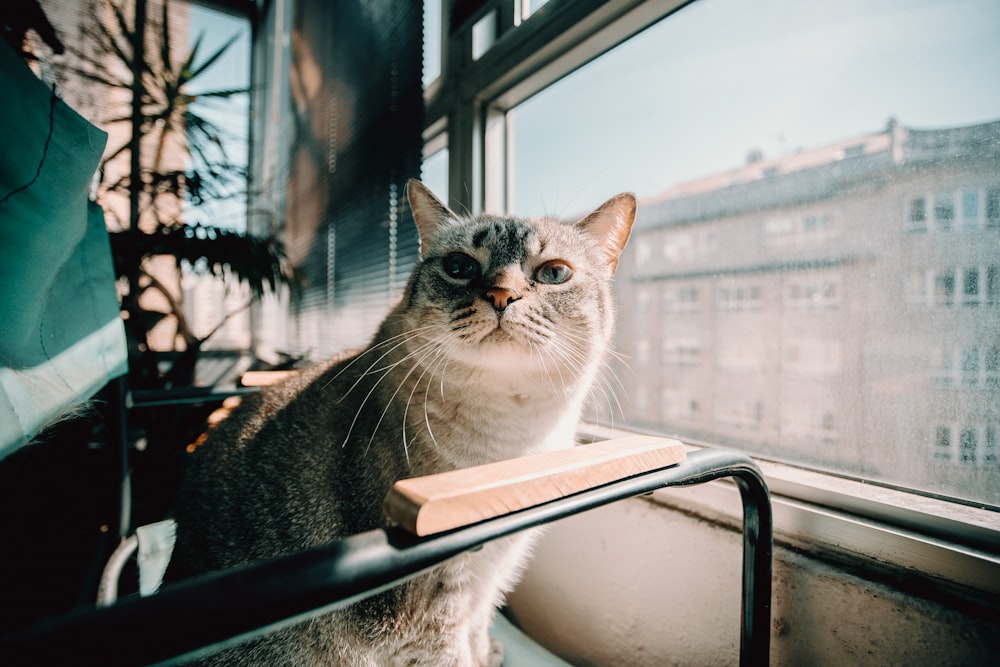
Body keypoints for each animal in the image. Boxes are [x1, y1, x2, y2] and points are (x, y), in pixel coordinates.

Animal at [163, 180, 632, 664]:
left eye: (554, 274)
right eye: (459, 266)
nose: (502, 296)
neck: (514, 447)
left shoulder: (490, 575)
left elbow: (479, 634)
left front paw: (491, 653)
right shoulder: (427, 615)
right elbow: (460, 654)